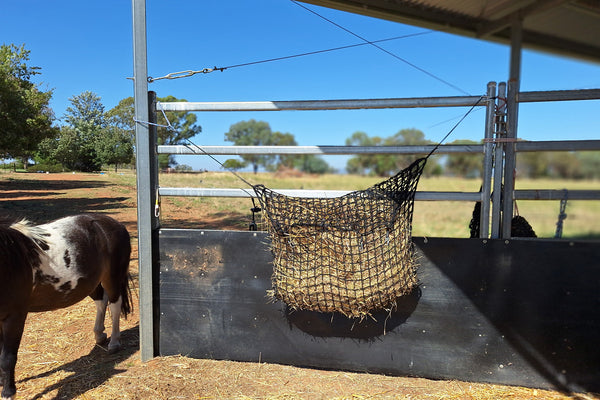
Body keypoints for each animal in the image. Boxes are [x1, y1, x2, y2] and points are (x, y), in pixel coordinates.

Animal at [0, 214, 132, 400]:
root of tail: (116, 224)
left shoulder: (15, 316)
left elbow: (7, 358)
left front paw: (8, 392)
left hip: (112, 277)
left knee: (114, 305)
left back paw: (114, 343)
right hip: (91, 283)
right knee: (101, 300)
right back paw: (99, 335)